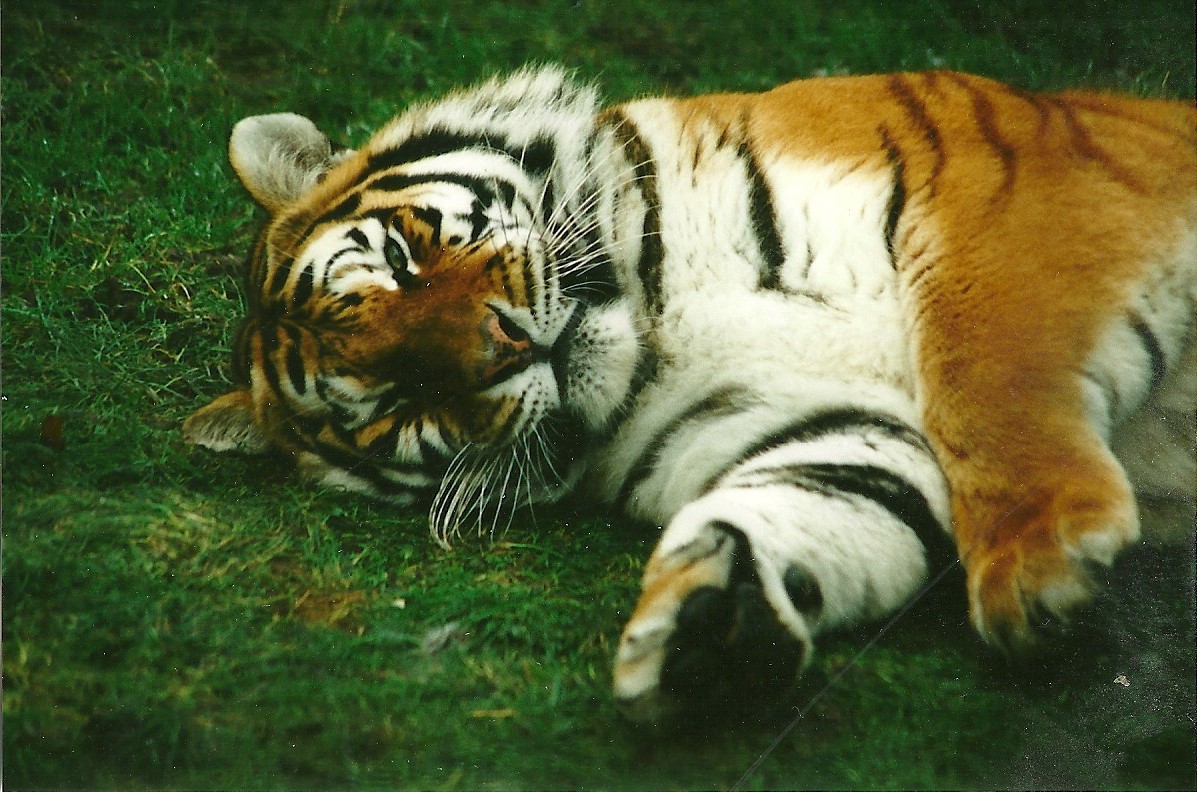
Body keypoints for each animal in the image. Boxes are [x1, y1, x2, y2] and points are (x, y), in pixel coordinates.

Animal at [184, 66, 1197, 723]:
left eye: (400, 259)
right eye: (398, 402)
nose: (500, 347)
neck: (656, 316)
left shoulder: (996, 184)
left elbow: (987, 370)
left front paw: (1037, 560)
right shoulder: (836, 427)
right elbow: (811, 506)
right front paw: (706, 622)